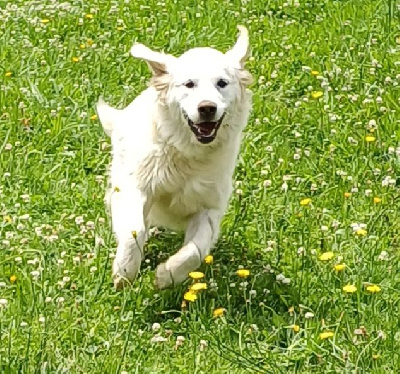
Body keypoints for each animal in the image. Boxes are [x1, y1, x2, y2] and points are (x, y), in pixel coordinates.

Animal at [97, 26, 252, 290]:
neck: (186, 153)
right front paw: (124, 272)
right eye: (189, 84)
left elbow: (195, 251)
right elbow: (134, 230)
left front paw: (166, 275)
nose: (207, 107)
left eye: (222, 83)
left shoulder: (208, 207)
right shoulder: (135, 188)